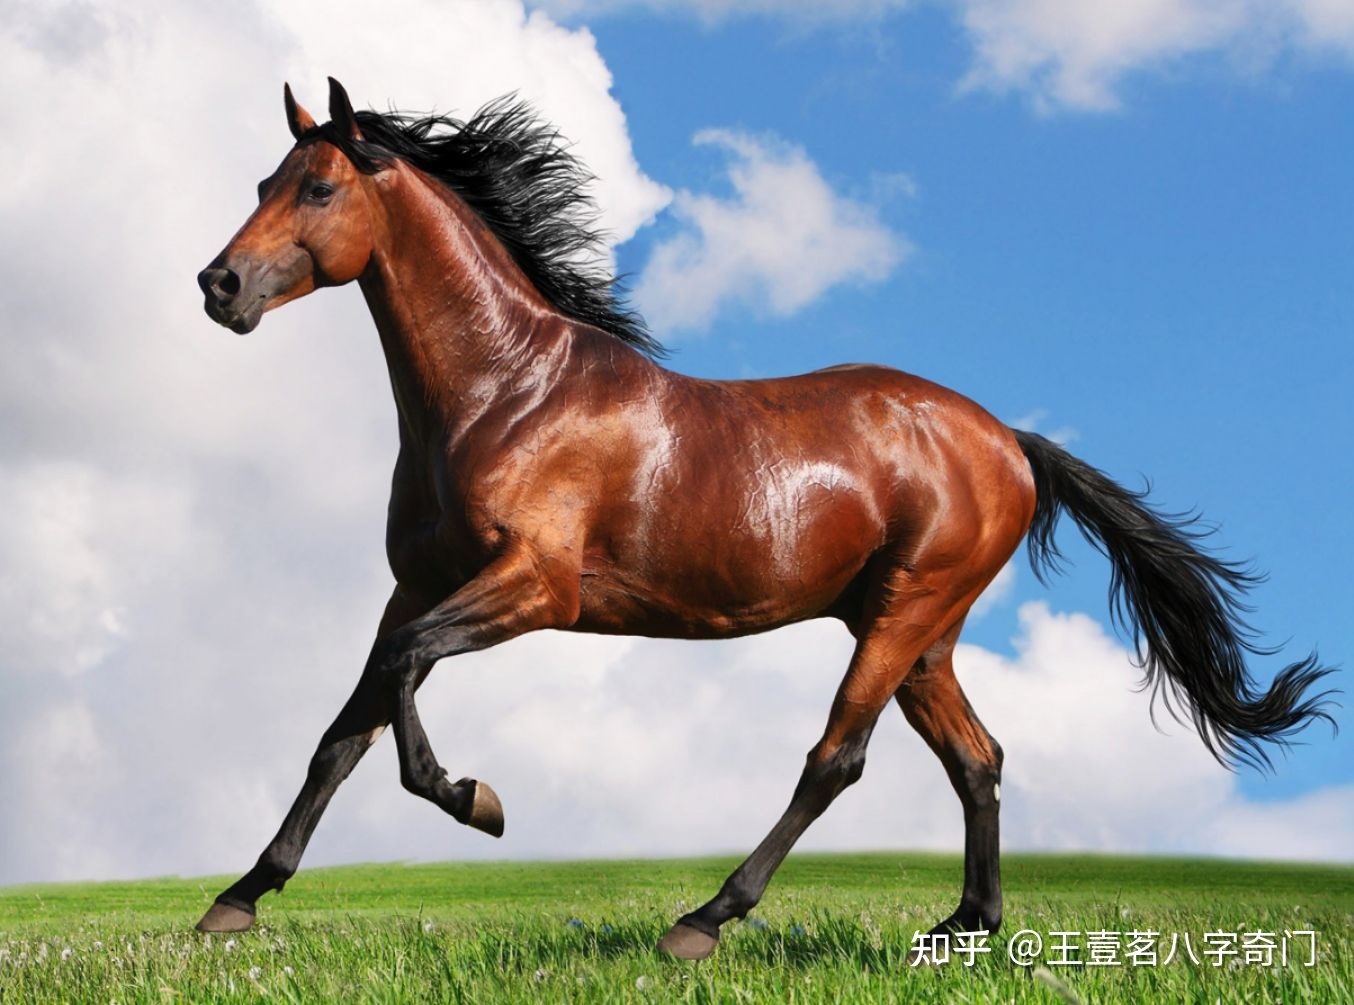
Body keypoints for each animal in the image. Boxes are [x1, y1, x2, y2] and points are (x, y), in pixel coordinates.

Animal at [194, 78, 1335, 960]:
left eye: (319, 186)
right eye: (261, 184)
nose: (219, 284)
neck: (503, 394)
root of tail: (1008, 439)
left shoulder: (533, 587)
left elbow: (397, 688)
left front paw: (476, 798)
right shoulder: (417, 585)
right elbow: (344, 730)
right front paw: (237, 900)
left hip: (904, 613)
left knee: (837, 756)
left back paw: (704, 919)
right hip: (922, 631)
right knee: (977, 757)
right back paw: (961, 928)